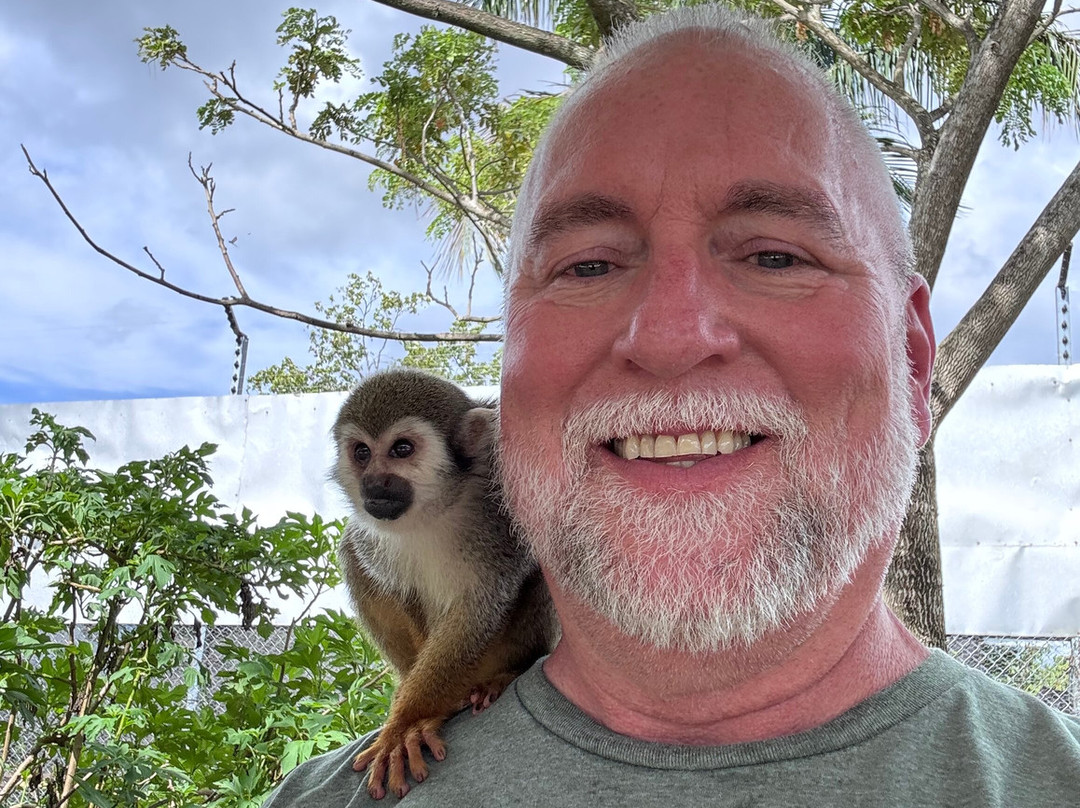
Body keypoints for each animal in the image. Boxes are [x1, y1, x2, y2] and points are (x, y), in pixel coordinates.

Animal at [331, 368, 558, 800]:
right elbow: (397, 587)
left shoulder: (500, 511)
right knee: (353, 550)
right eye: (362, 452)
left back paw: (507, 671)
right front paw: (418, 716)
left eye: (402, 449)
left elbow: (479, 608)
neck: (439, 506)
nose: (374, 482)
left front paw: (407, 721)